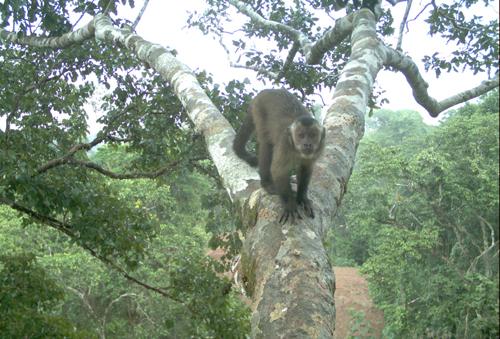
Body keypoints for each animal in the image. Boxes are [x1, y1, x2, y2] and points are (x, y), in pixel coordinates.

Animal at [233, 89, 326, 224]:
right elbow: (278, 171)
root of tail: (266, 91)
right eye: (301, 135)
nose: (307, 144)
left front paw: (302, 197)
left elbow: (306, 169)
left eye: (313, 135)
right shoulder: (284, 143)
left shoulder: (319, 148)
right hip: (259, 109)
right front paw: (289, 204)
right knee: (266, 144)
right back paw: (267, 184)